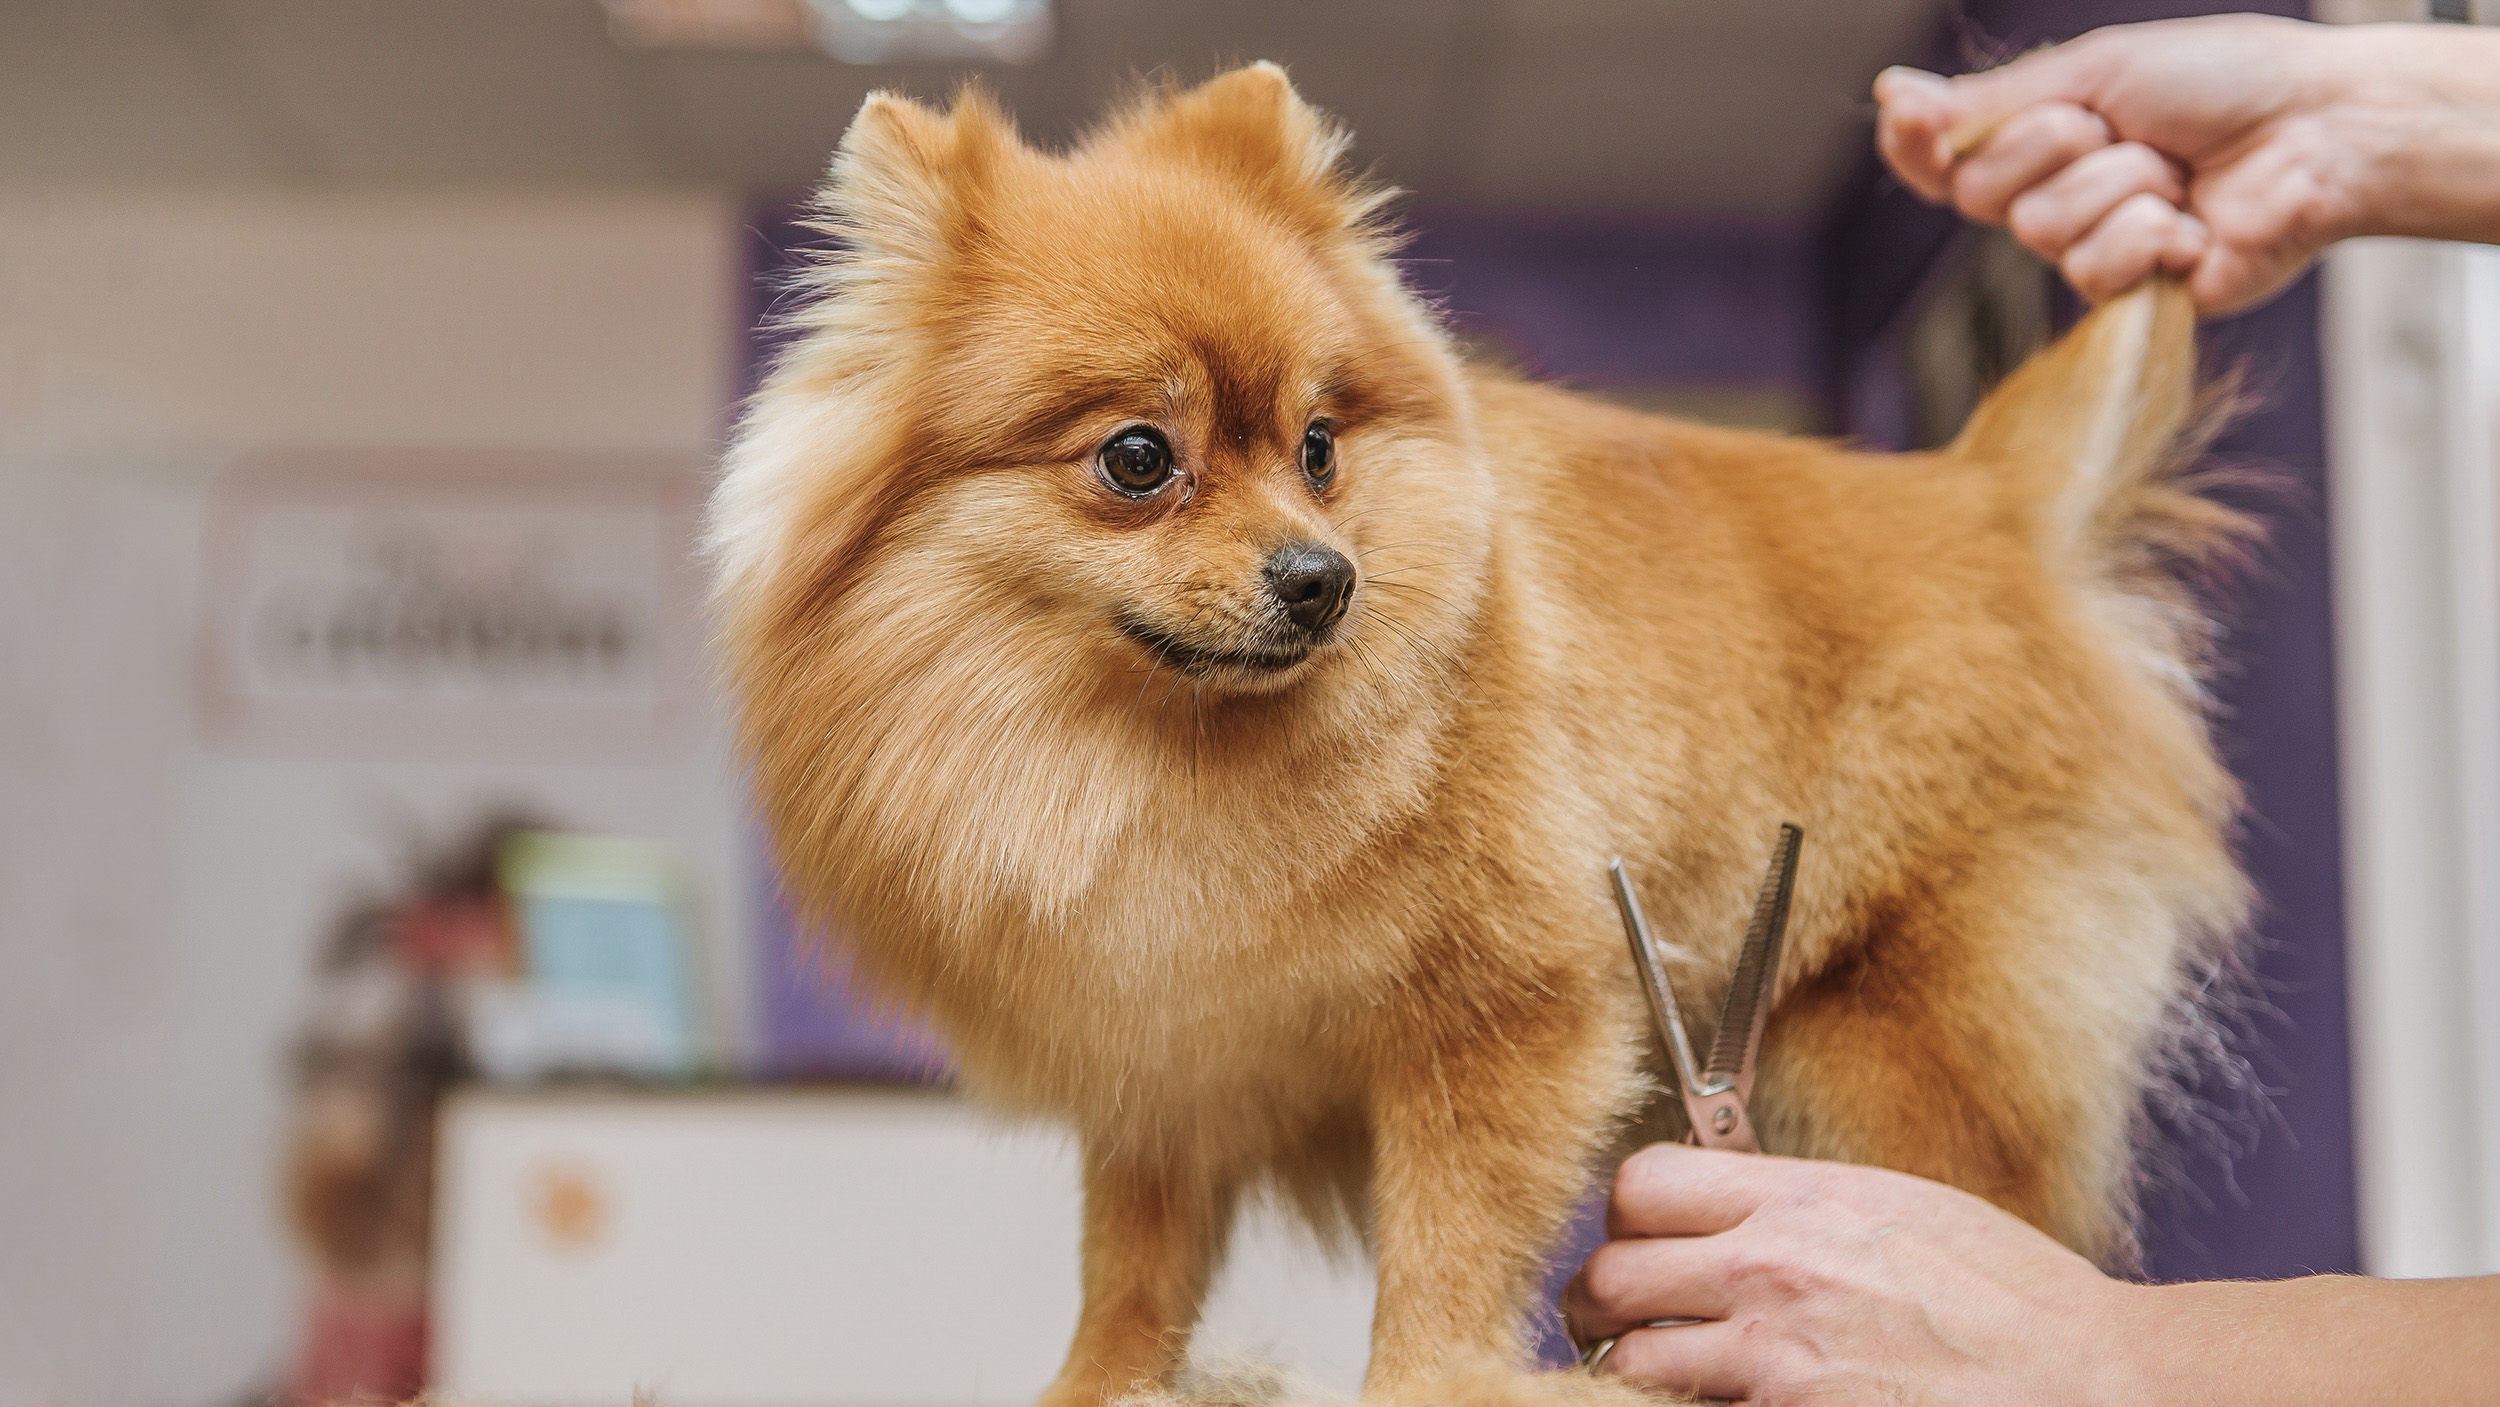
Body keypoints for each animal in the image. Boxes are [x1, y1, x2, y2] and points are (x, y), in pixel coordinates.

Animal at [715, 63, 2260, 1407]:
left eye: (1319, 448)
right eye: (1138, 459)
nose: (1322, 575)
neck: (1156, 753)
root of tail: (1993, 504)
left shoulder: (1510, 1010)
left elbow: (1450, 1237)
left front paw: (1431, 1383)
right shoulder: (1164, 1058)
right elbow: (1136, 1267)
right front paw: (1102, 1386)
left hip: (1897, 1046)